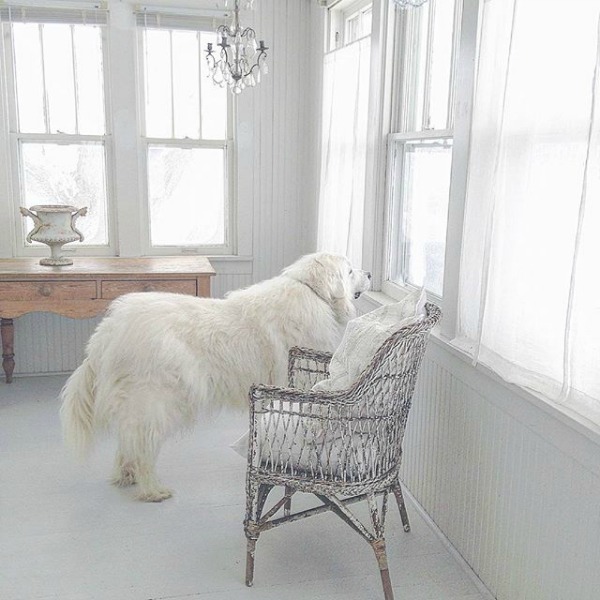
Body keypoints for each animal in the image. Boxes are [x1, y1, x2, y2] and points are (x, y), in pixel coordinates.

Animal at [61, 252, 370, 502]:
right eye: (349, 270)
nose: (369, 274)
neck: (313, 292)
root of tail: (108, 331)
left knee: (128, 441)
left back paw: (126, 476)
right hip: (153, 403)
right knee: (141, 448)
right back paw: (152, 489)